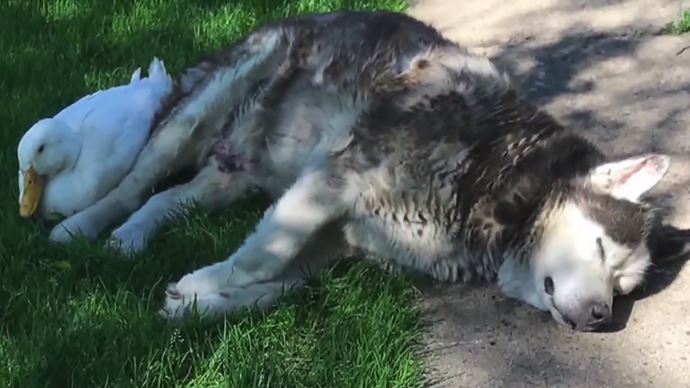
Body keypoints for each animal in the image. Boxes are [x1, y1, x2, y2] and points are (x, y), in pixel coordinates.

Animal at [48, 10, 688, 330]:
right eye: (601, 250)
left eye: (624, 287)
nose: (603, 318)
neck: (504, 176)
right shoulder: (331, 183)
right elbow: (261, 260)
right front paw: (208, 281)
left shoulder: (341, 240)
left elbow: (281, 285)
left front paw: (200, 304)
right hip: (209, 106)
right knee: (138, 177)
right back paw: (83, 226)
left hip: (241, 171)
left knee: (169, 198)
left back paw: (133, 237)